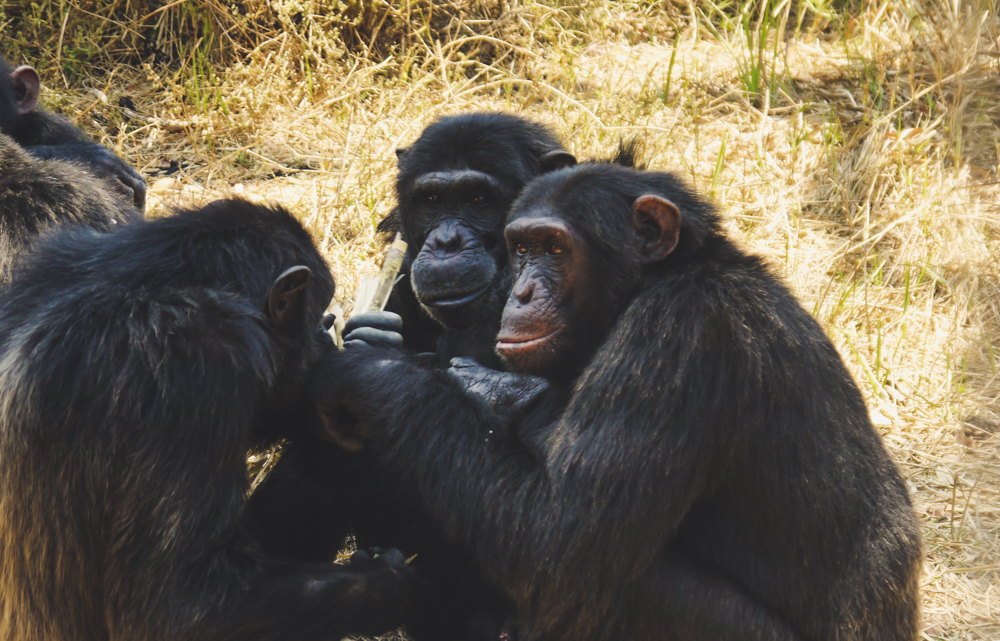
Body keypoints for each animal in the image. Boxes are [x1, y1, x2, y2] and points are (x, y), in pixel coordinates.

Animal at [310, 162, 920, 640]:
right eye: (520, 247)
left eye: (554, 248)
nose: (520, 293)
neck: (650, 284)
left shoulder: (682, 336)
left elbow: (559, 538)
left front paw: (375, 371)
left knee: (622, 577)